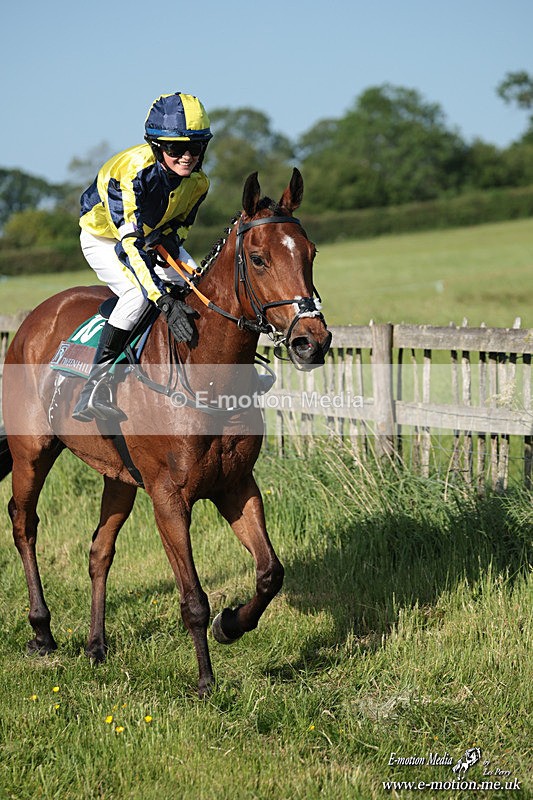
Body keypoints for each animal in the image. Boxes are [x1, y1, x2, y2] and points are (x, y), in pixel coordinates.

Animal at [0, 168, 331, 697]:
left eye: (311, 252)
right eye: (259, 259)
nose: (311, 341)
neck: (203, 375)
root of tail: (35, 318)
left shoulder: (236, 484)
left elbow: (270, 573)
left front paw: (231, 624)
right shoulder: (168, 498)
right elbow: (193, 598)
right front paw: (206, 681)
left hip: (118, 474)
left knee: (99, 549)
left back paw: (96, 645)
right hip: (32, 450)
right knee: (23, 523)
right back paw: (42, 630)